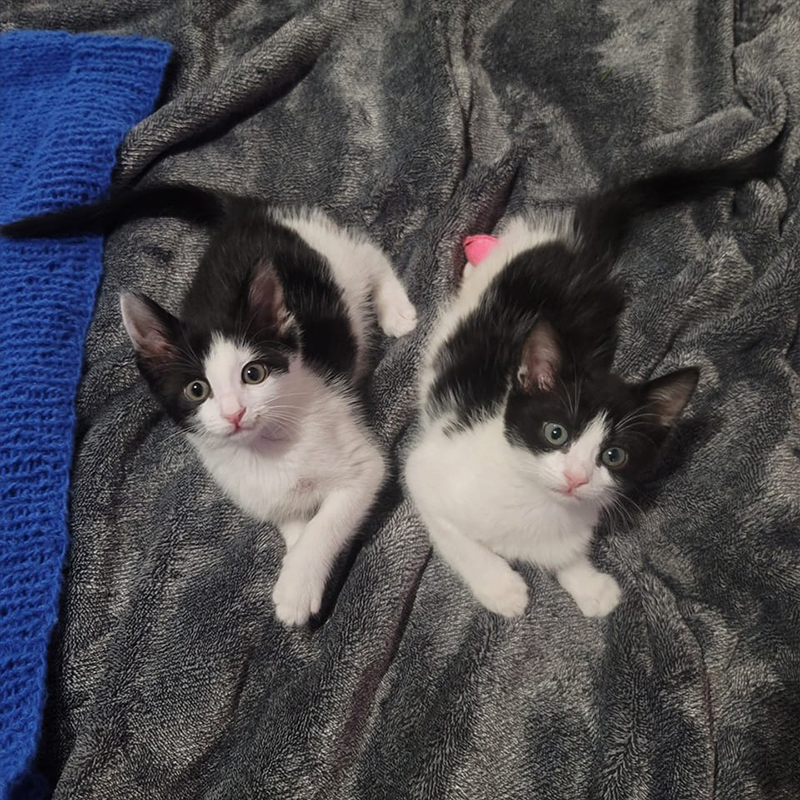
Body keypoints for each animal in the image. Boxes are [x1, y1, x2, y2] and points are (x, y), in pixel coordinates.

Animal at [4, 188, 418, 624]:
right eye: (197, 390)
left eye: (253, 374)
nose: (234, 413)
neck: (265, 449)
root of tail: (243, 214)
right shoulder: (263, 495)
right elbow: (296, 523)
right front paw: (300, 565)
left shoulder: (361, 461)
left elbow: (330, 520)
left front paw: (296, 587)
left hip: (332, 253)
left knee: (368, 254)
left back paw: (396, 311)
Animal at [404, 144, 780, 620]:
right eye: (556, 433)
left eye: (613, 455)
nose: (576, 478)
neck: (538, 503)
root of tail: (578, 247)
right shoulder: (428, 472)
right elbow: (458, 538)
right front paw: (501, 587)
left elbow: (565, 553)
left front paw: (588, 583)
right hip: (519, 249)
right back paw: (474, 267)